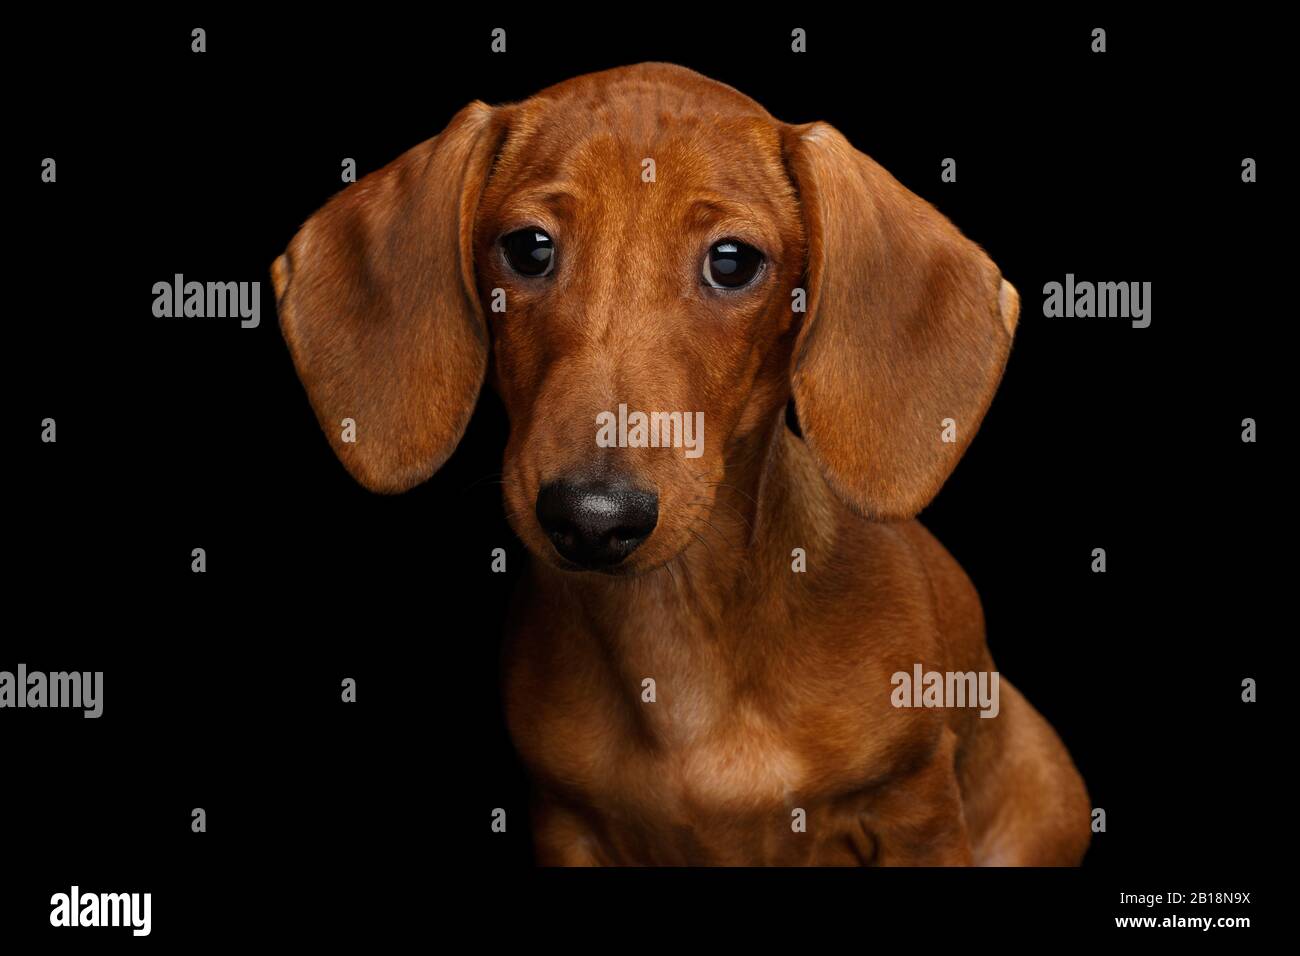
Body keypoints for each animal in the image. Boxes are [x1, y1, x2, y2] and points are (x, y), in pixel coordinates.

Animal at [271, 59, 1086, 868]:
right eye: (529, 248)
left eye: (733, 261)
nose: (593, 519)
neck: (678, 628)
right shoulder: (567, 825)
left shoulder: (914, 811)